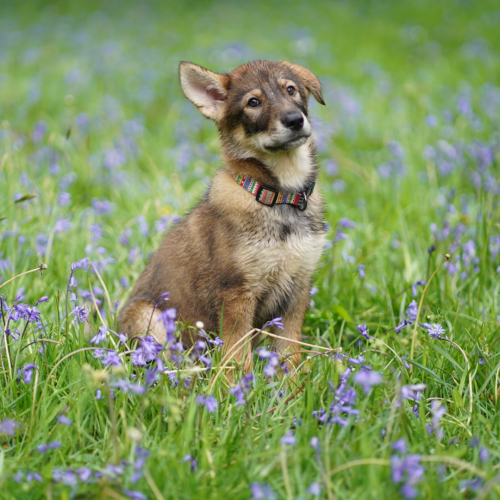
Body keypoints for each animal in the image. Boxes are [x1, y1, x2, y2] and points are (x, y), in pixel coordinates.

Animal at [118, 60, 326, 376]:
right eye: (253, 102)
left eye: (290, 90)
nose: (294, 120)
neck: (279, 197)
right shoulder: (237, 292)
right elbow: (238, 357)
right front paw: (241, 388)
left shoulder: (298, 289)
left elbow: (289, 354)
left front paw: (291, 386)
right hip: (149, 318)